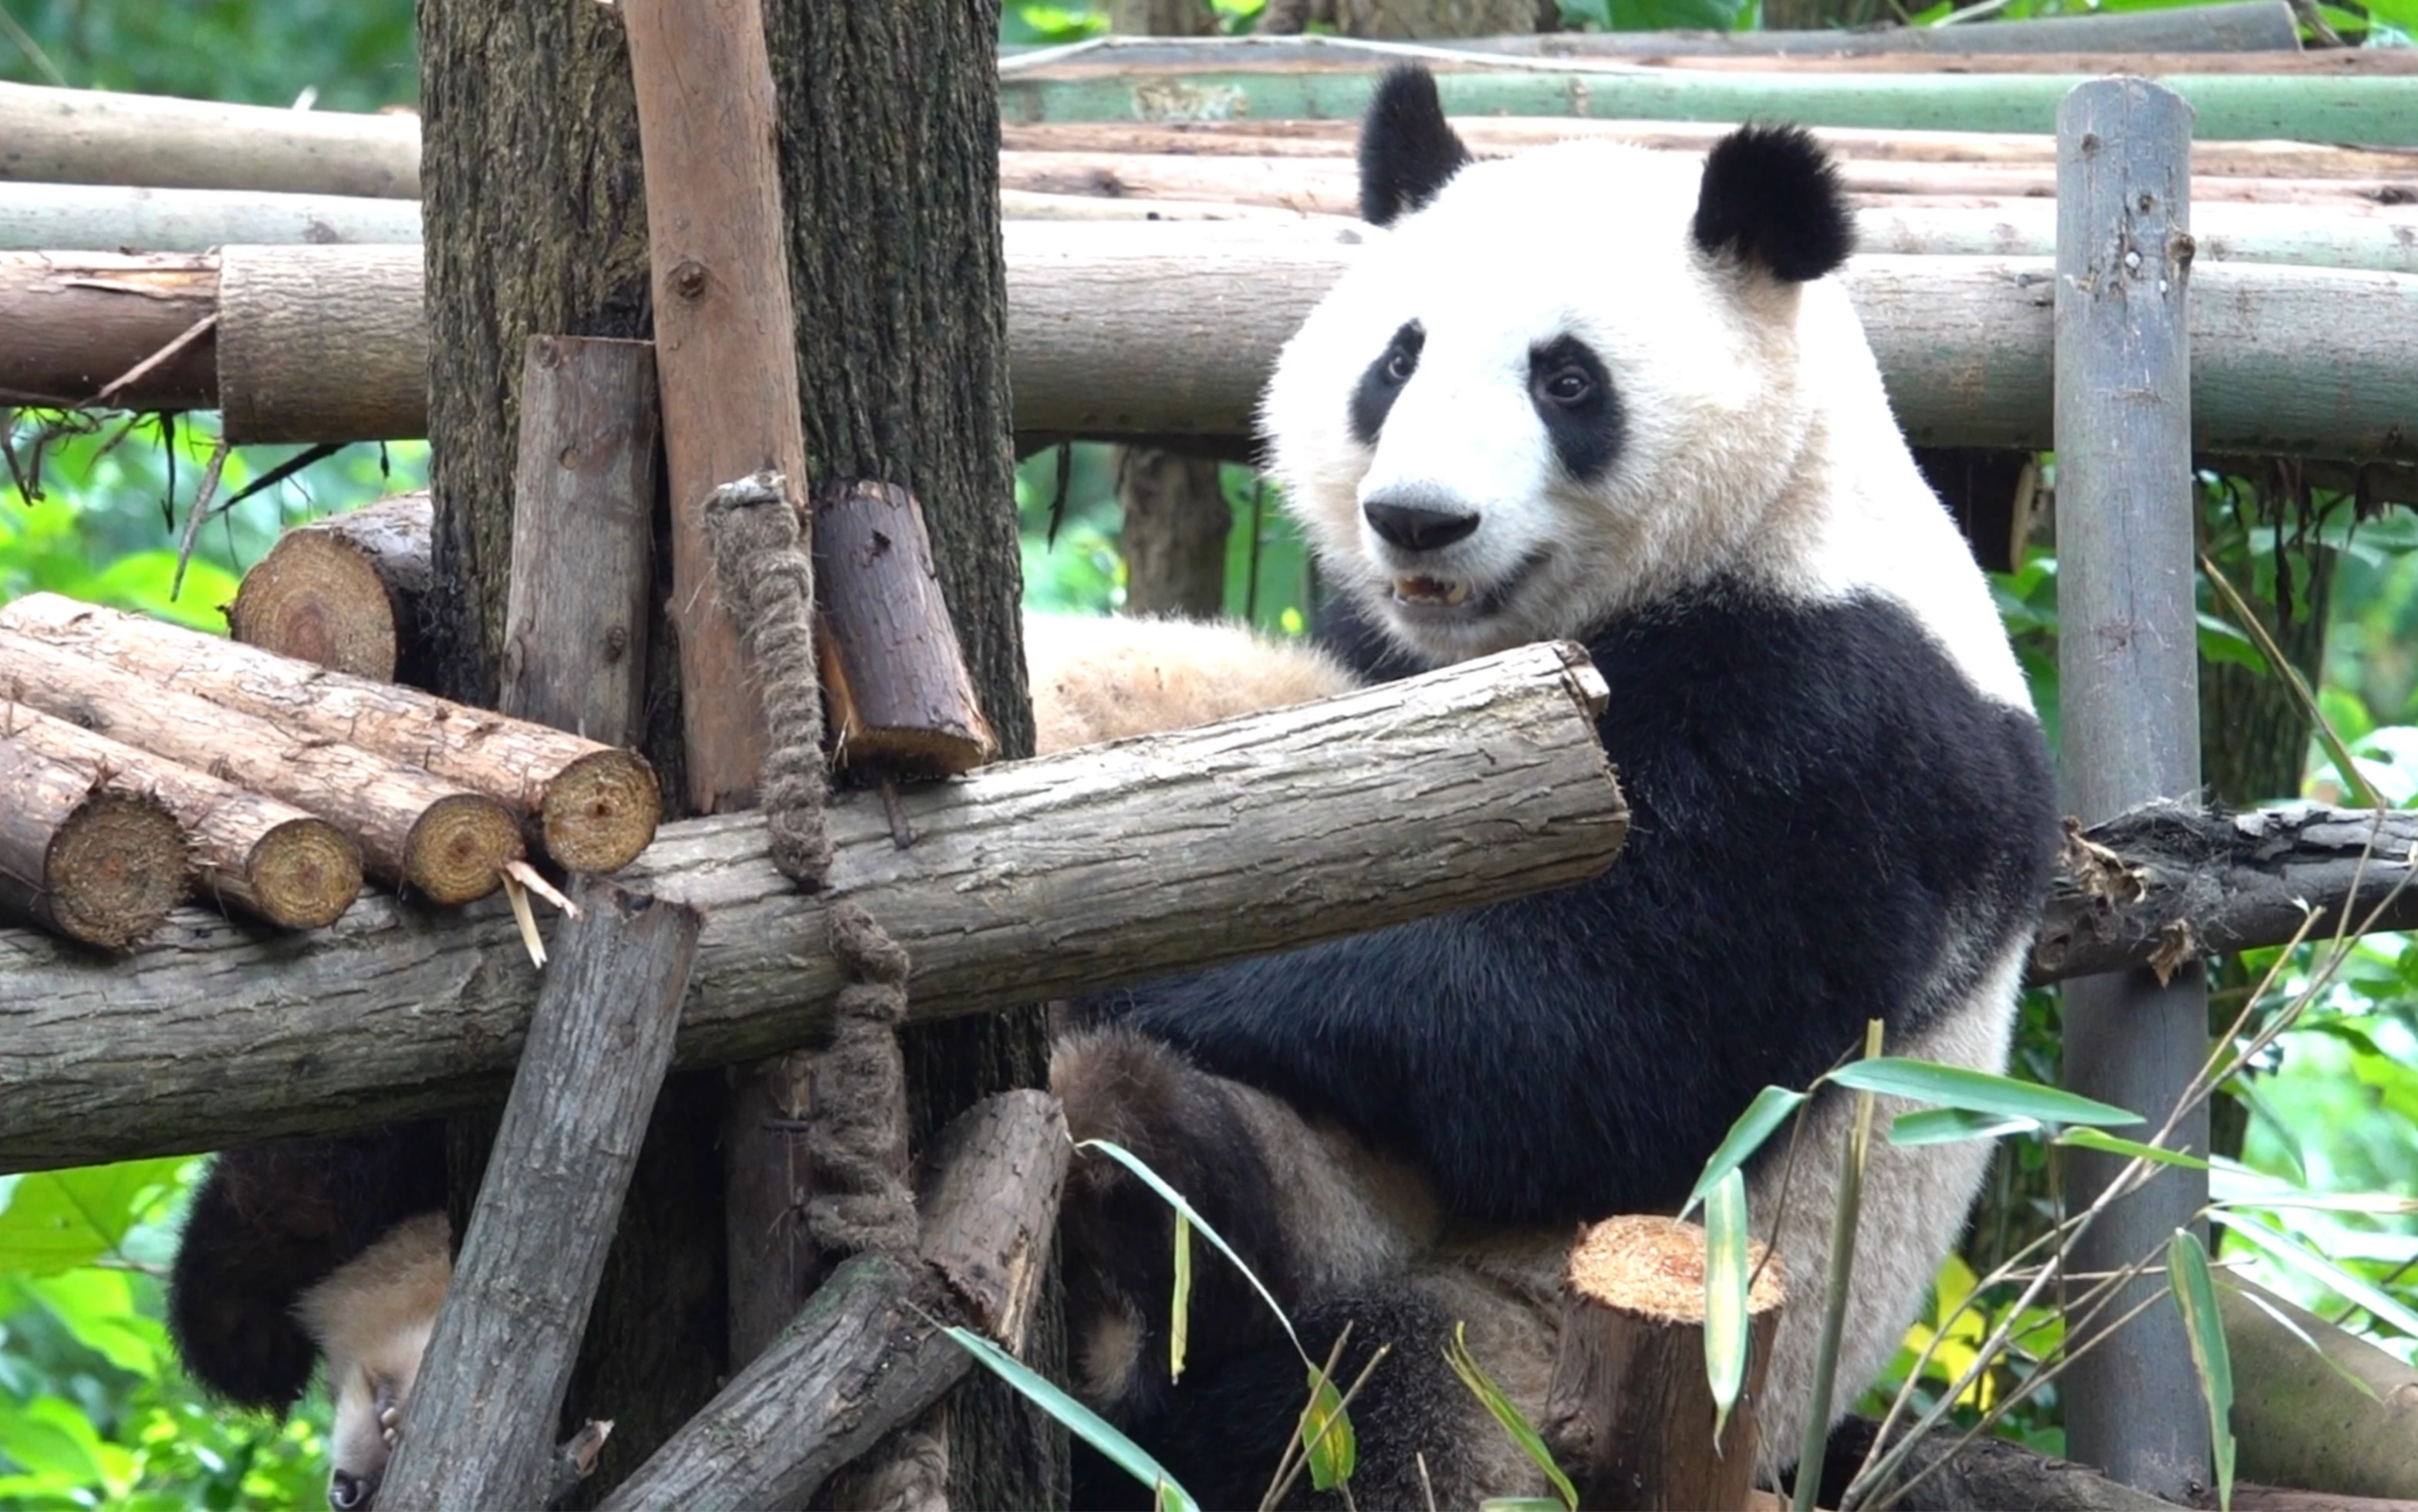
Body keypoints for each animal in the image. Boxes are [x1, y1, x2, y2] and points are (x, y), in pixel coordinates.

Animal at [1039, 64, 2060, 1500]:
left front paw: (1169, 982)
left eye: (1566, 380)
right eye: (1395, 359)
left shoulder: (1845, 724)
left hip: (1503, 1351)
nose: (1417, 520)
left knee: (1347, 1405)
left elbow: (1592, 1036)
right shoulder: (1373, 659)